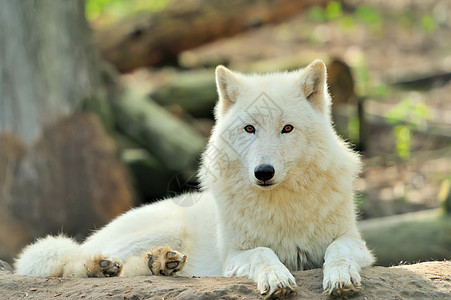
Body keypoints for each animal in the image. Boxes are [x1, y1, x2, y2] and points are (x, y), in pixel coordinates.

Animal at [15, 59, 374, 298]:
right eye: (249, 129)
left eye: (287, 128)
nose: (263, 172)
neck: (282, 205)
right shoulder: (234, 255)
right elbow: (263, 253)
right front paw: (276, 278)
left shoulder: (355, 241)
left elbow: (338, 250)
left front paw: (341, 277)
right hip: (163, 227)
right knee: (68, 261)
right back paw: (101, 265)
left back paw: (162, 263)